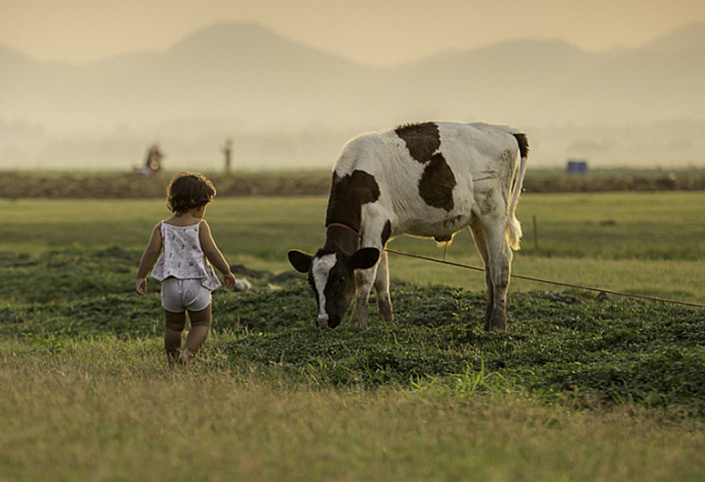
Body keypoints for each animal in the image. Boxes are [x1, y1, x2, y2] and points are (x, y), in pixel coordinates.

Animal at [288, 120, 528, 332]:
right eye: (310, 282)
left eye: (340, 279)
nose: (323, 321)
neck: (356, 173)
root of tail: (506, 130)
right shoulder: (377, 232)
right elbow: (381, 279)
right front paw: (386, 323)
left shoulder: (375, 223)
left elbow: (365, 276)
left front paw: (357, 323)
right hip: (477, 220)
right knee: (489, 268)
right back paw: (487, 324)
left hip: (494, 213)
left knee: (501, 265)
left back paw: (498, 325)